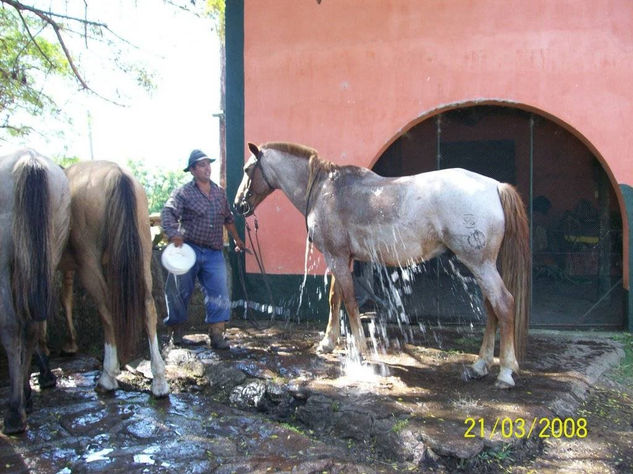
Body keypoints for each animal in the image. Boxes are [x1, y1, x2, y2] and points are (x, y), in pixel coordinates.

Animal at [53, 161, 169, 398]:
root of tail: (117, 174)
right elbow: (66, 296)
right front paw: (70, 342)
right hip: (142, 251)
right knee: (148, 307)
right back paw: (159, 380)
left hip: (88, 260)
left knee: (106, 309)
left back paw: (107, 376)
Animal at [235, 143, 532, 388]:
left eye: (248, 169)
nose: (239, 205)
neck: (324, 190)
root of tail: (495, 186)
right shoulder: (341, 257)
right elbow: (335, 298)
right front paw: (327, 343)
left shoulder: (337, 258)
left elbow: (350, 303)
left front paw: (360, 352)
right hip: (482, 266)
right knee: (491, 308)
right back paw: (480, 365)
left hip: (479, 263)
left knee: (503, 304)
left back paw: (505, 372)